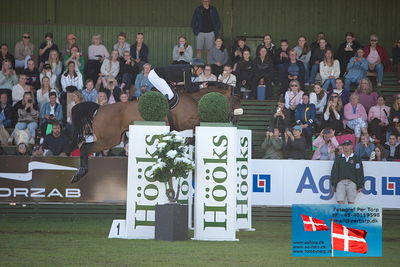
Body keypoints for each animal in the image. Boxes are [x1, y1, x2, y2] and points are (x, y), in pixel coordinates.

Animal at [71, 85, 241, 183]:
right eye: (235, 102)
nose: (236, 120)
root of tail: (99, 108)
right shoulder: (189, 122)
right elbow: (195, 130)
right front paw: (187, 142)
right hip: (108, 140)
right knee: (85, 148)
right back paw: (80, 173)